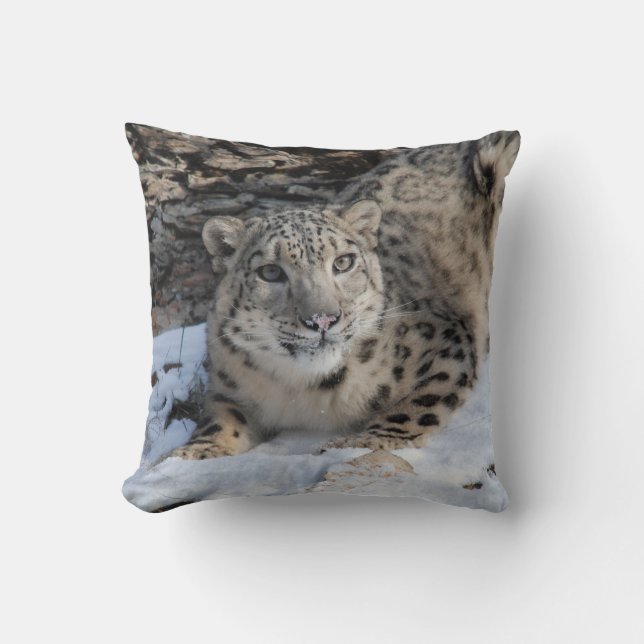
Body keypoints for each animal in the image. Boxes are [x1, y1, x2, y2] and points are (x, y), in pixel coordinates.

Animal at [167, 131, 520, 461]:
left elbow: (415, 406)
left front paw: (358, 443)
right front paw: (191, 455)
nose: (322, 320)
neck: (308, 394)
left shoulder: (447, 344)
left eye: (343, 262)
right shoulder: (228, 387)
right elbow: (220, 421)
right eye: (270, 272)